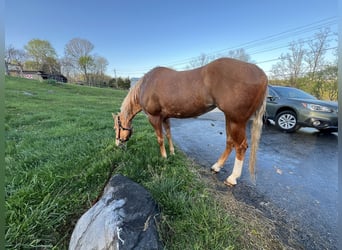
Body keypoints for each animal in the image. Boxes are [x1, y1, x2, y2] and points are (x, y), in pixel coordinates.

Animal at [112, 57, 268, 186]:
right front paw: (172, 153)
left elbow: (160, 139)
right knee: (230, 142)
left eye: (116, 128)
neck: (146, 85)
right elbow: (168, 135)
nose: (117, 144)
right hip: (229, 118)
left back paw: (232, 178)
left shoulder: (154, 117)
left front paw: (164, 157)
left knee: (241, 146)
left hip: (236, 121)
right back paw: (217, 167)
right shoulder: (165, 117)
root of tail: (262, 75)